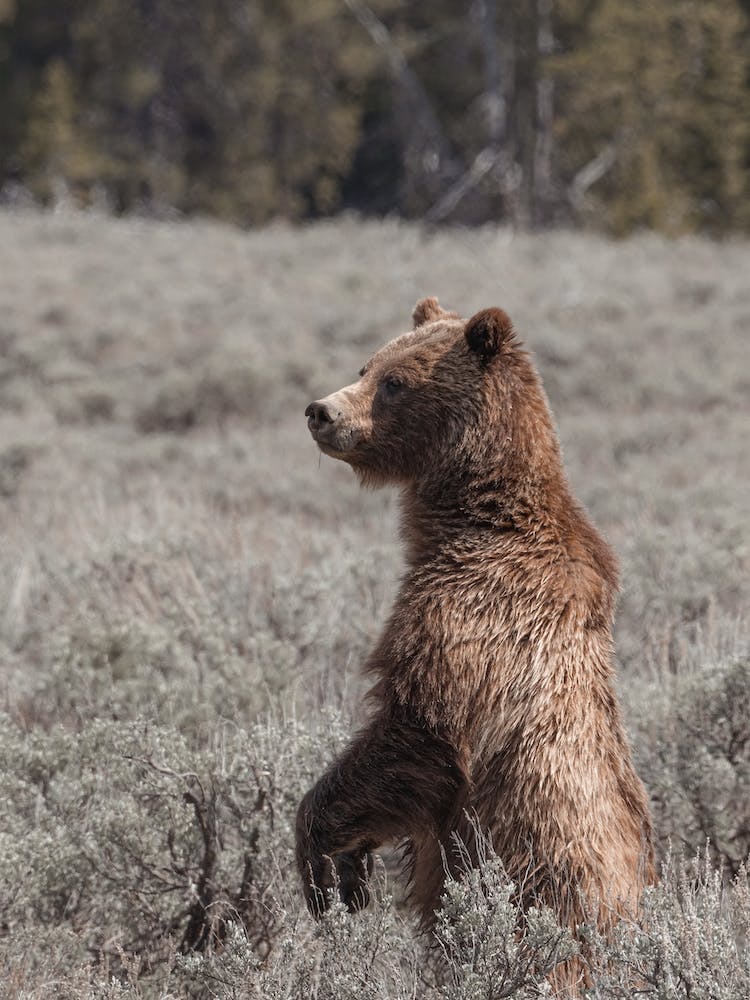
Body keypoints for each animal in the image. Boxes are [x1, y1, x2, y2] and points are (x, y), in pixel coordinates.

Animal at [296, 298, 655, 991]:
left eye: (395, 382)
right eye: (367, 363)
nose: (321, 411)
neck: (471, 515)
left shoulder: (471, 616)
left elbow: (416, 734)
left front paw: (325, 868)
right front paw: (346, 872)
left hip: (550, 892)